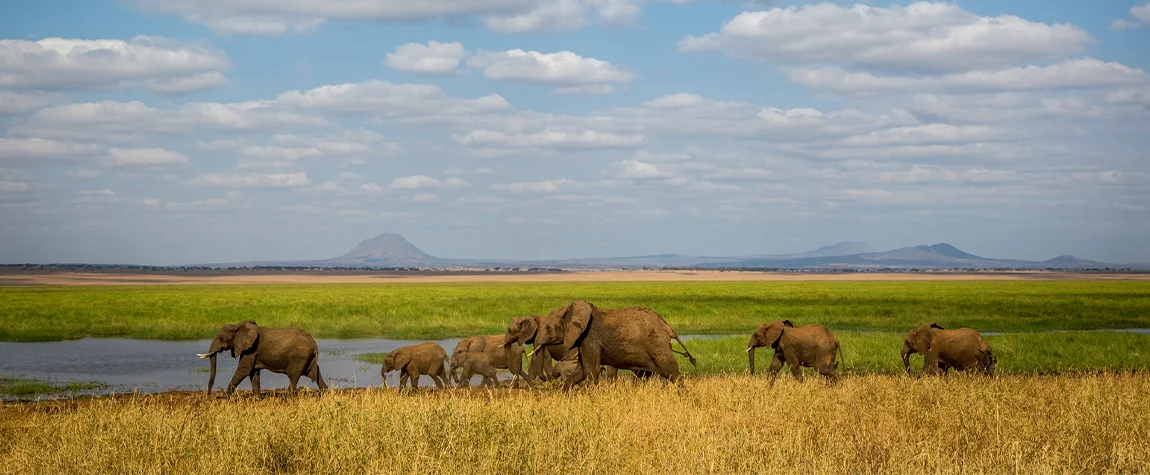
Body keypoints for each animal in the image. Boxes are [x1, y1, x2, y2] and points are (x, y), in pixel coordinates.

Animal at [197, 317, 328, 395]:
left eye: (222, 338)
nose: (208, 394)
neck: (238, 326)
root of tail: (314, 343)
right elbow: (253, 373)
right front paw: (257, 399)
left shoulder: (251, 349)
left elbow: (244, 370)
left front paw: (227, 397)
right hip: (307, 357)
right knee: (314, 373)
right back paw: (325, 393)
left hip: (300, 356)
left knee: (294, 376)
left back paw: (287, 399)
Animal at [526, 299, 694, 388]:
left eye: (548, 327)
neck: (570, 309)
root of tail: (668, 327)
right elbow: (580, 371)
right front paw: (564, 394)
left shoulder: (589, 338)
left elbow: (590, 371)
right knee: (645, 376)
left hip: (657, 344)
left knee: (672, 372)